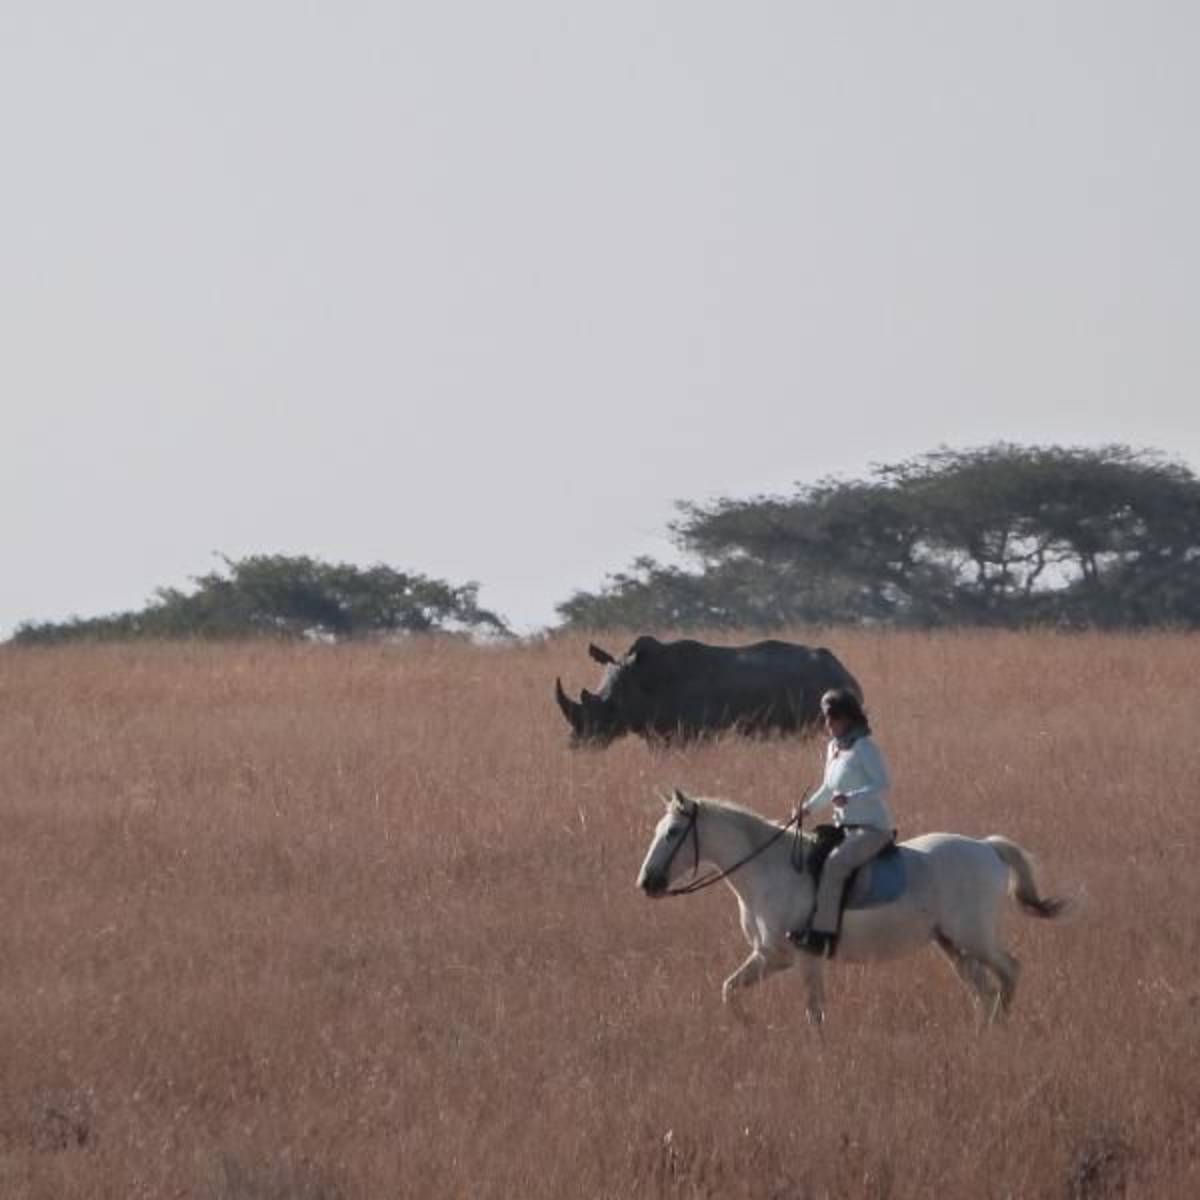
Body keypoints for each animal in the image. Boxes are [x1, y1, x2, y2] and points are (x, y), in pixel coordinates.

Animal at [554, 636, 863, 748]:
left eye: (610, 710)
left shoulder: (690, 733)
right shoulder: (659, 733)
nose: (575, 745)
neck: (639, 681)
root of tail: (846, 672)